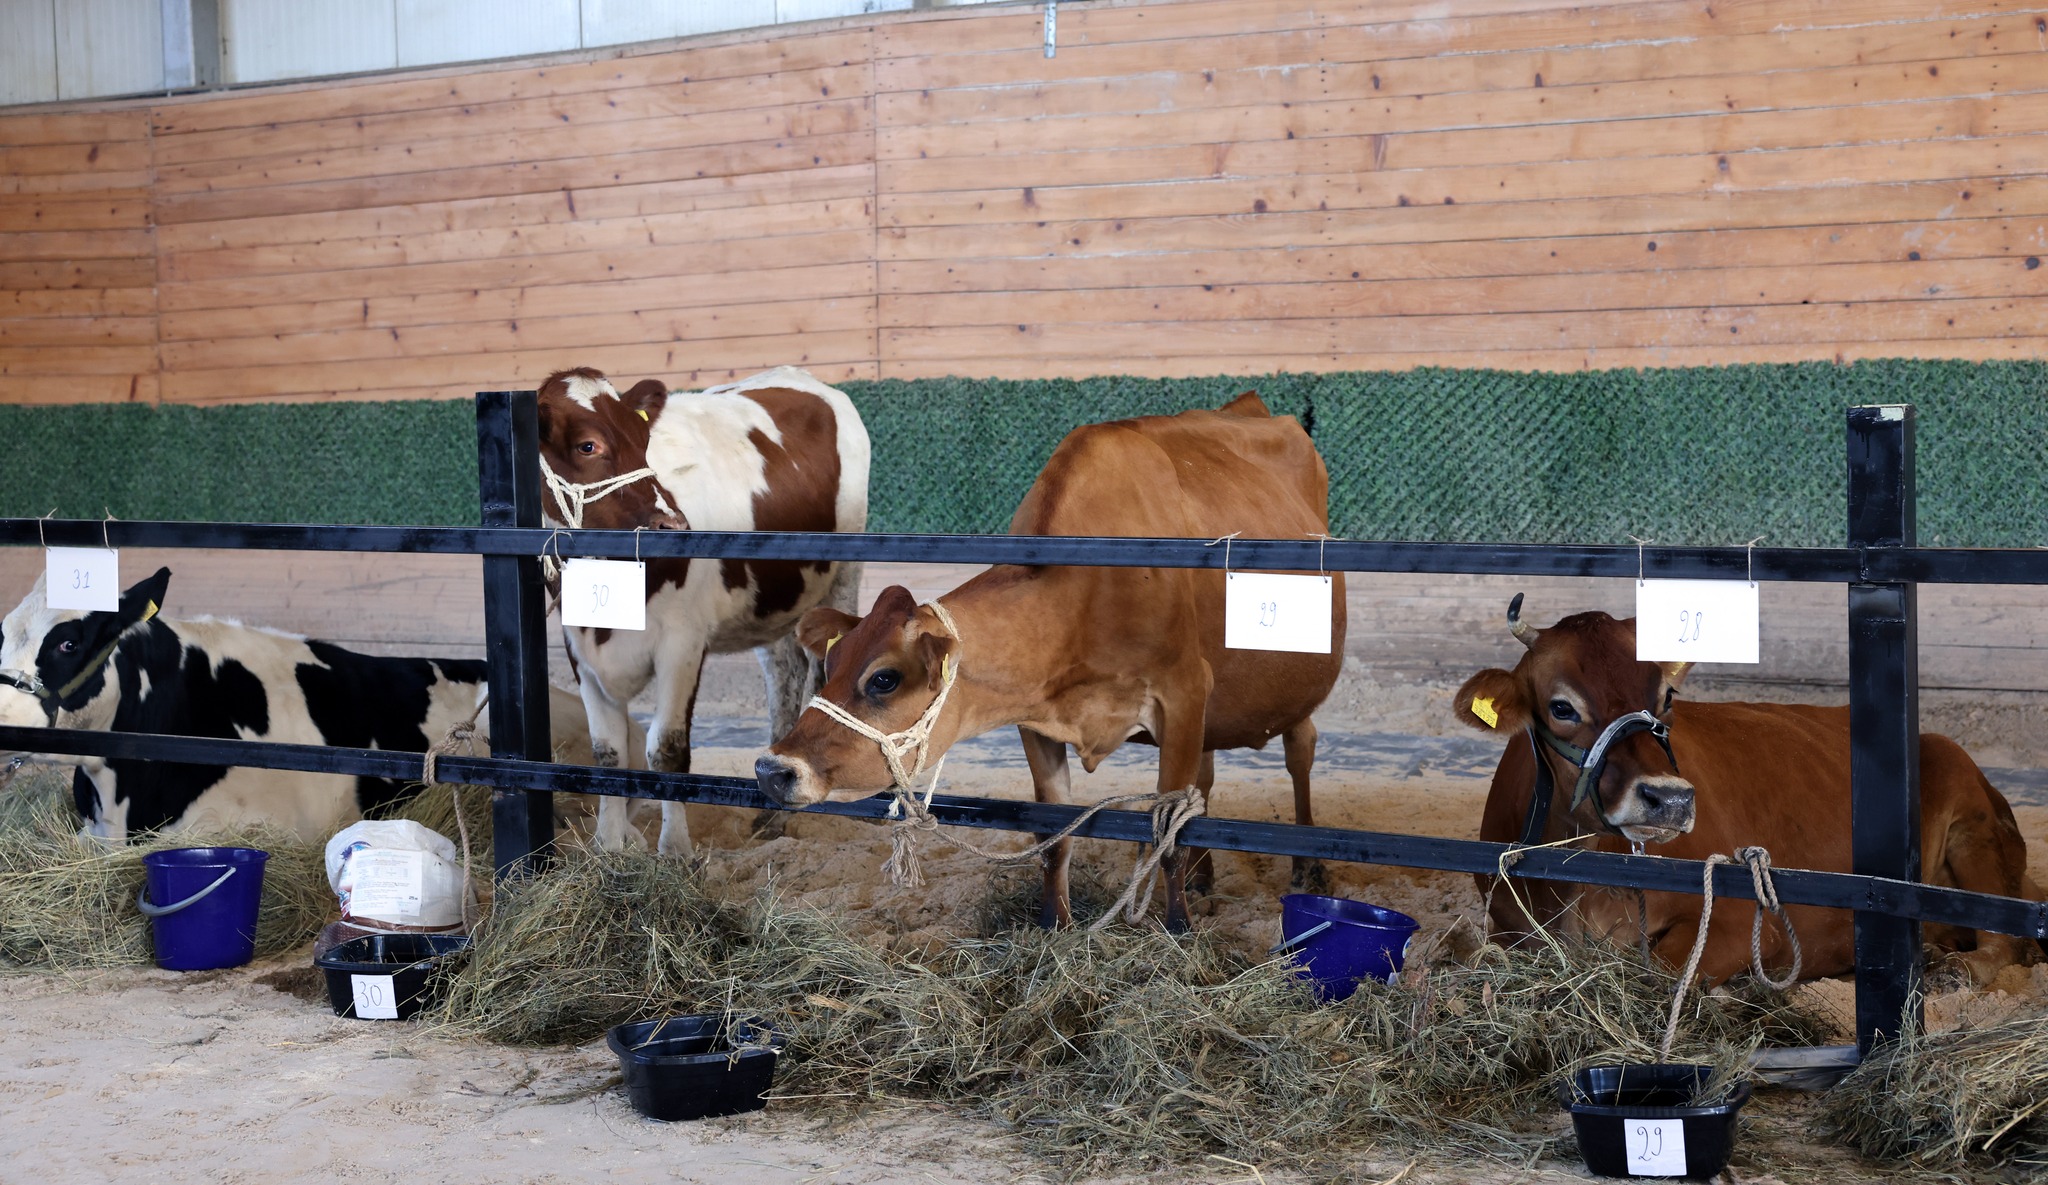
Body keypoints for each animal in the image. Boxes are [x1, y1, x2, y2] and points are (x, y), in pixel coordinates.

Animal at [536, 365, 869, 856]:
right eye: (587, 445)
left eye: (644, 439)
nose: (673, 526)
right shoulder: (578, 644)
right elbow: (608, 751)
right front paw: (608, 848)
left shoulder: (683, 643)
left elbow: (667, 749)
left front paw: (675, 851)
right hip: (773, 608)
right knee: (783, 678)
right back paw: (770, 815)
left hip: (844, 576)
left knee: (822, 673)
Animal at [753, 392, 1344, 932]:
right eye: (830, 667)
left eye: (883, 679)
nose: (772, 769)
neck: (1089, 592)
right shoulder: (1036, 718)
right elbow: (1053, 831)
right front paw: (1053, 927)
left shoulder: (1184, 693)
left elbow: (1168, 834)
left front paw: (1177, 933)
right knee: (1208, 775)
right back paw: (1206, 878)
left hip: (1296, 690)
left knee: (1300, 754)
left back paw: (1305, 869)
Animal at [1454, 596, 2041, 986]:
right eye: (1561, 706)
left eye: (1667, 696)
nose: (1668, 799)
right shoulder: (1503, 926)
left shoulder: (1741, 924)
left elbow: (1663, 972)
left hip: (1976, 831)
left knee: (2005, 938)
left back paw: (1954, 968)